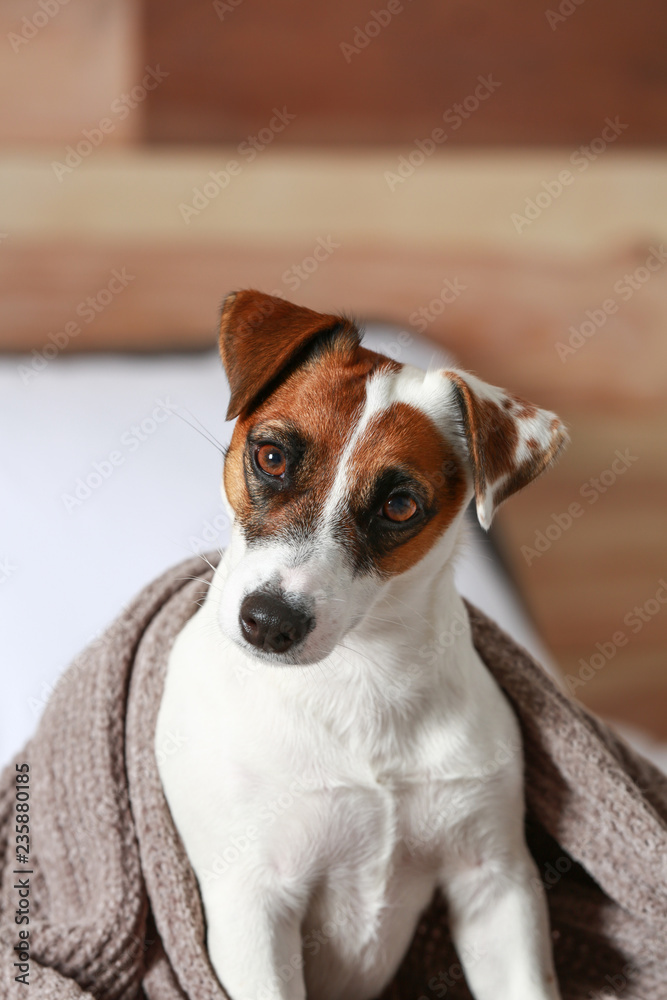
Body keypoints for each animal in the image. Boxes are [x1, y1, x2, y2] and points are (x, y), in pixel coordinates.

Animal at [158, 292, 568, 1000]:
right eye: (271, 457)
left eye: (400, 505)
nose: (268, 621)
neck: (359, 680)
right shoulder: (251, 907)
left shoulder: (494, 884)